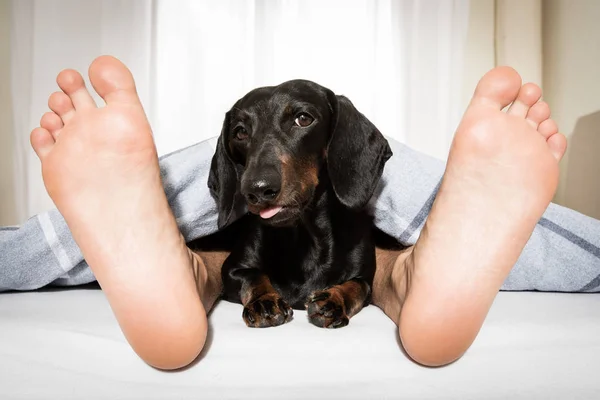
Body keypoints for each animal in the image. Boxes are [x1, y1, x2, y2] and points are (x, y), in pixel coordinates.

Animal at [206, 79, 394, 330]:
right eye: (240, 132)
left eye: (303, 119)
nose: (257, 189)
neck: (303, 235)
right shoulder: (231, 270)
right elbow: (254, 276)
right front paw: (264, 301)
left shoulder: (365, 279)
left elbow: (355, 286)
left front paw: (333, 300)